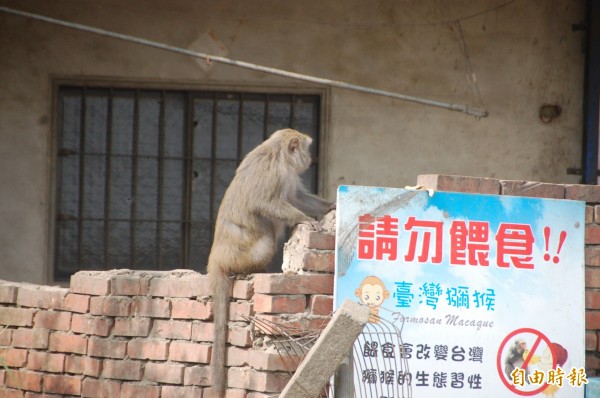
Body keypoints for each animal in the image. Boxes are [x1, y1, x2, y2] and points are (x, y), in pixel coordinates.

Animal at [207, 129, 332, 396]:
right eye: (307, 148)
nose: (310, 158)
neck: (279, 154)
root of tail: (217, 257)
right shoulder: (275, 173)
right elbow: (264, 204)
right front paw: (306, 219)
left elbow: (296, 197)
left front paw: (330, 206)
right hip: (243, 253)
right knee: (266, 238)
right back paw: (247, 271)